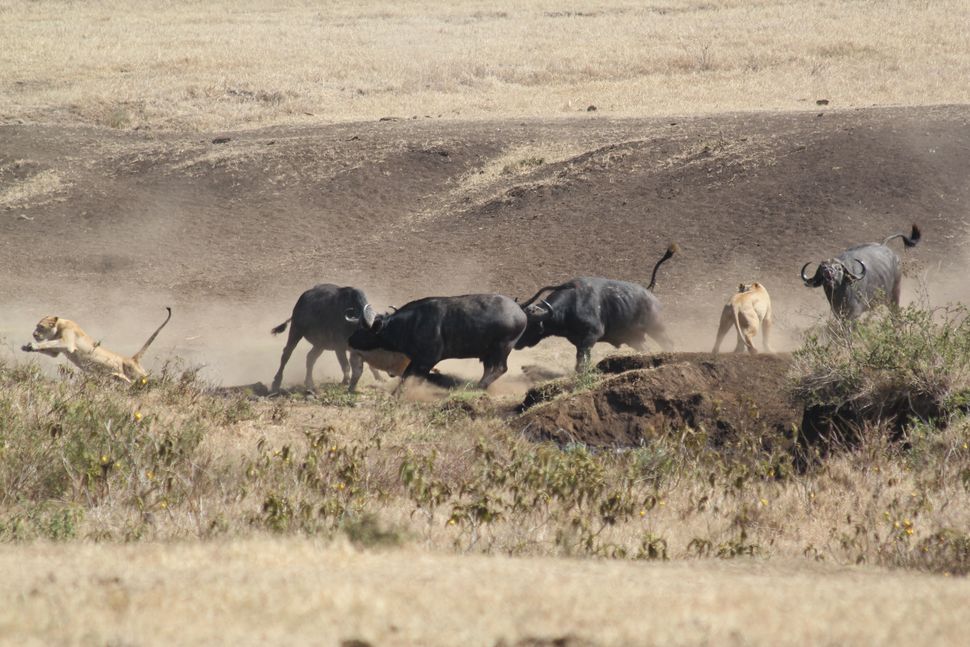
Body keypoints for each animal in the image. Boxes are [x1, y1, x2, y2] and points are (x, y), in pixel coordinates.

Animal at [266, 284, 402, 394]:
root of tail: (301, 301)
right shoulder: (339, 347)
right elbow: (345, 365)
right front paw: (346, 381)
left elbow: (370, 366)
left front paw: (380, 379)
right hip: (296, 331)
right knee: (286, 354)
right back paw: (276, 383)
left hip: (319, 344)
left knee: (310, 358)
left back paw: (309, 382)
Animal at [346, 294, 524, 390]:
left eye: (364, 329)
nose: (350, 339)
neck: (411, 324)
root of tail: (520, 312)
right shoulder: (416, 359)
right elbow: (405, 376)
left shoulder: (427, 361)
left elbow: (412, 378)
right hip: (488, 353)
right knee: (489, 368)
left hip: (502, 348)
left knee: (501, 368)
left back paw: (479, 386)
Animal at [516, 243, 672, 370]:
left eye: (529, 326)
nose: (516, 343)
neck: (571, 307)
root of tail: (651, 296)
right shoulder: (578, 342)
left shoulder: (591, 337)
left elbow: (582, 362)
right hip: (634, 338)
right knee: (646, 349)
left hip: (657, 328)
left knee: (668, 343)